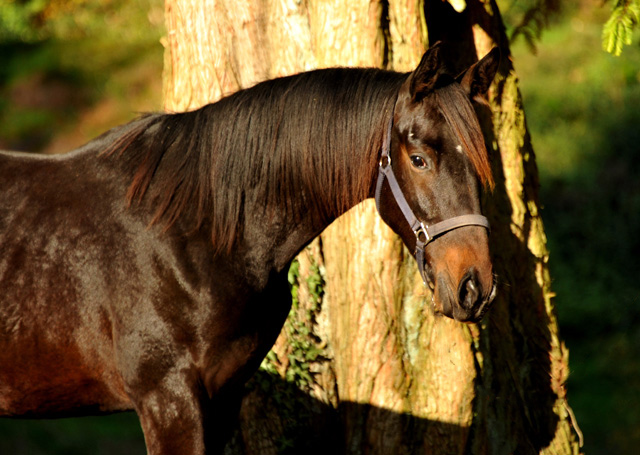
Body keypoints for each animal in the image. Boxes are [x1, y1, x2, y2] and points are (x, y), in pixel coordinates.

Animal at [0, 43, 500, 455]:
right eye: (419, 160)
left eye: (481, 162)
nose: (474, 287)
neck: (196, 232)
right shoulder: (168, 402)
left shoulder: (222, 399)